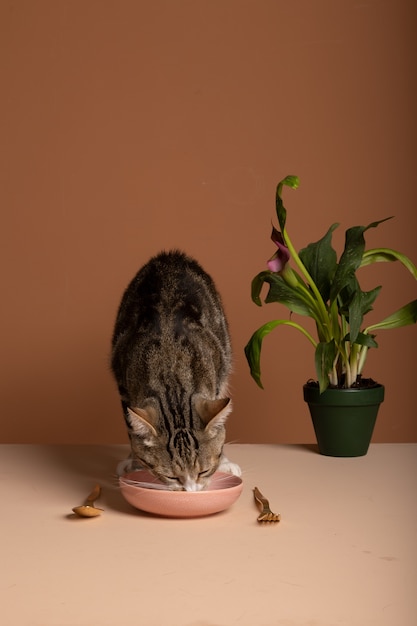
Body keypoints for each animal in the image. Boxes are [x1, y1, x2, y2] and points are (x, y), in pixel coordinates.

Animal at [110, 251, 240, 490]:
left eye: (204, 471)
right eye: (171, 477)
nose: (190, 492)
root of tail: (171, 255)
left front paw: (222, 460)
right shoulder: (124, 388)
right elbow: (133, 433)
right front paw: (136, 461)